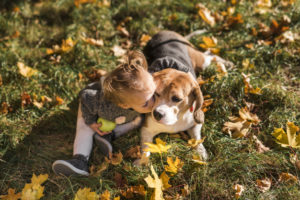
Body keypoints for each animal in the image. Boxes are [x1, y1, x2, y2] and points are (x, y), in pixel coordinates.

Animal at [134, 30, 232, 165]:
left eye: (176, 99)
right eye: (156, 93)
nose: (157, 114)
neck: (175, 120)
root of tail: (165, 31)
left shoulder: (194, 123)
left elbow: (196, 139)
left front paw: (201, 152)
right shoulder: (146, 129)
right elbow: (146, 148)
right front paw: (142, 162)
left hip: (202, 62)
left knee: (211, 55)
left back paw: (226, 64)